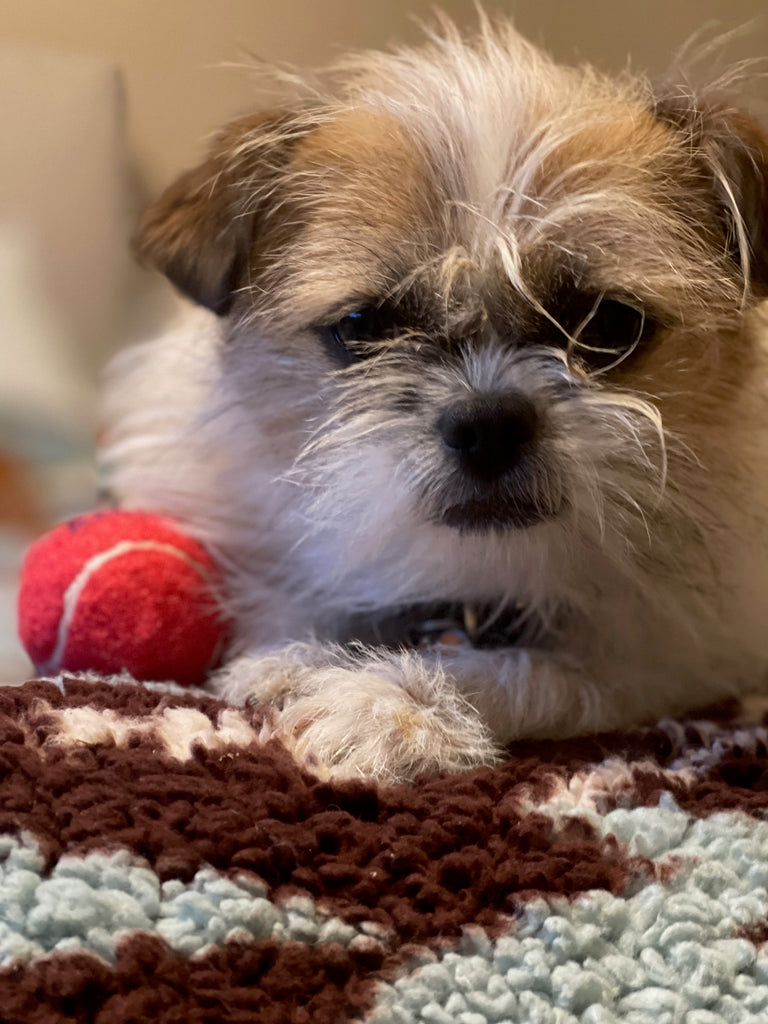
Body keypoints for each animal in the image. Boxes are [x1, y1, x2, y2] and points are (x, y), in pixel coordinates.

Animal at [105, 16, 768, 778]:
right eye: (362, 326)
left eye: (607, 325)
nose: (489, 424)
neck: (471, 583)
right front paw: (295, 658)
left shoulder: (661, 662)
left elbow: (528, 672)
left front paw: (389, 702)